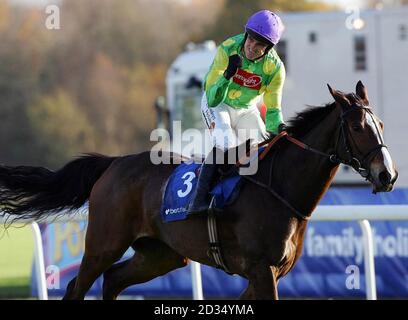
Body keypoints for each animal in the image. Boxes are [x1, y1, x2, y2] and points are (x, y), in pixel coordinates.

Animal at [0, 81, 398, 298]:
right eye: (358, 128)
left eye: (380, 123)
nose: (387, 175)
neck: (279, 187)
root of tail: (113, 164)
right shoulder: (262, 269)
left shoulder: (267, 273)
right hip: (103, 243)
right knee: (77, 287)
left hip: (161, 254)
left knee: (113, 281)